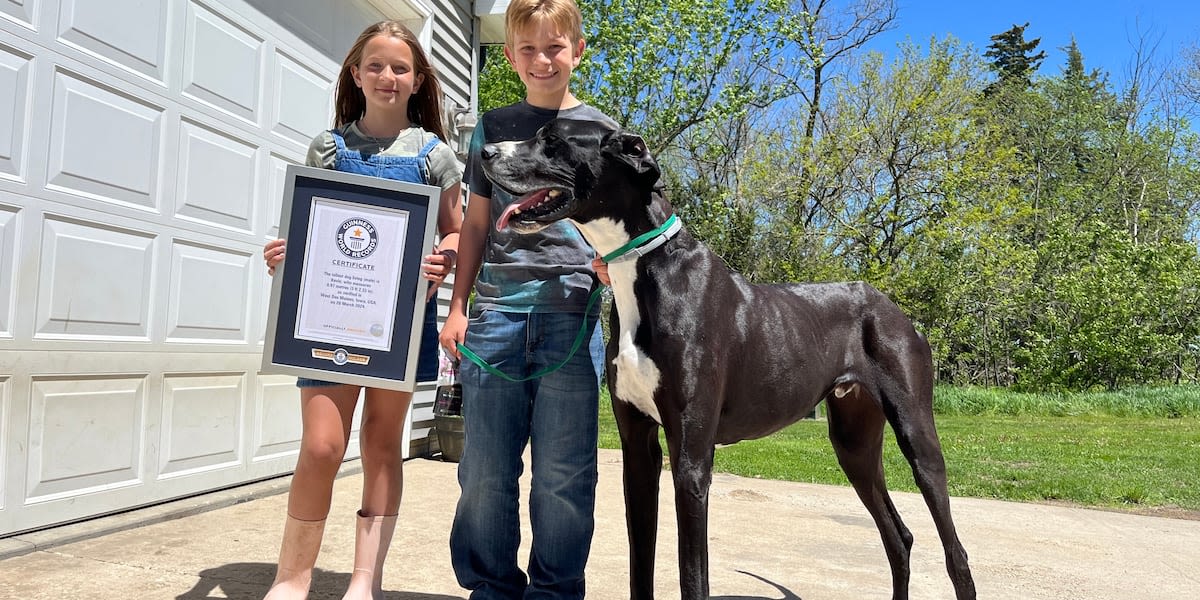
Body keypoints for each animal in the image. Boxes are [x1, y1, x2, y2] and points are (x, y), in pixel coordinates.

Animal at [477, 118, 974, 600]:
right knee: (899, 538)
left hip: (917, 436)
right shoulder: (638, 450)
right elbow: (641, 567)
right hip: (854, 444)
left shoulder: (692, 459)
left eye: (553, 140)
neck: (646, 267)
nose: (484, 151)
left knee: (956, 553)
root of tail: (893, 308)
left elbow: (693, 577)